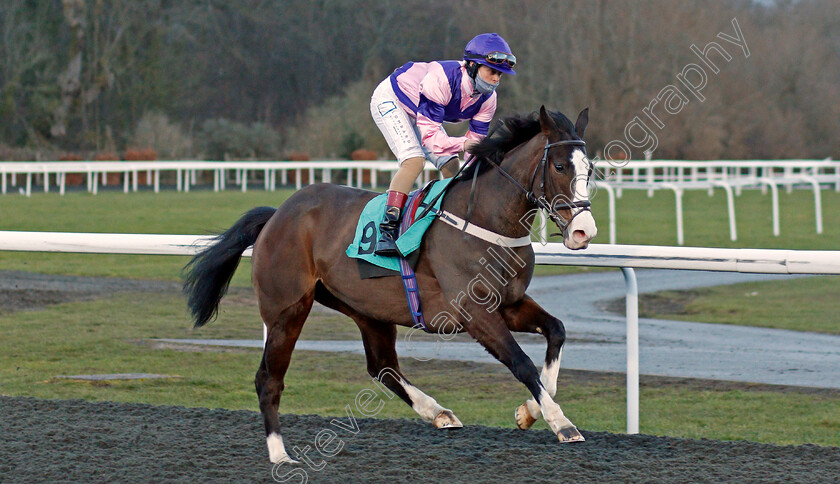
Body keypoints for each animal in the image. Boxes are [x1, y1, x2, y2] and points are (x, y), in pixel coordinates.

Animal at [184, 108, 596, 464]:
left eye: (590, 169)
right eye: (560, 166)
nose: (583, 232)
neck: (485, 220)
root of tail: (277, 215)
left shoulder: (509, 302)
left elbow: (556, 332)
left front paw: (529, 411)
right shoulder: (474, 312)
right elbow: (522, 363)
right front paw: (561, 423)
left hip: (365, 308)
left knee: (382, 366)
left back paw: (438, 411)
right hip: (287, 309)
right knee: (269, 379)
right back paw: (279, 454)